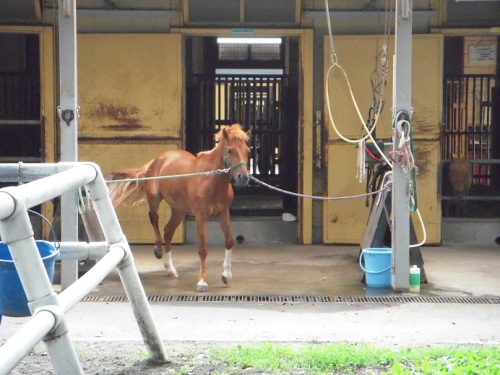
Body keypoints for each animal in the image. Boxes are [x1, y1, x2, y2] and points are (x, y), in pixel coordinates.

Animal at [107, 125, 252, 292]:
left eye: (247, 150)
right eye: (230, 150)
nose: (243, 178)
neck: (210, 179)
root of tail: (157, 160)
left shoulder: (224, 212)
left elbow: (229, 241)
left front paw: (226, 276)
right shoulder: (200, 216)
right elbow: (203, 249)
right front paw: (202, 282)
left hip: (179, 211)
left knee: (168, 231)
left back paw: (170, 269)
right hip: (155, 199)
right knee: (154, 218)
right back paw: (158, 250)